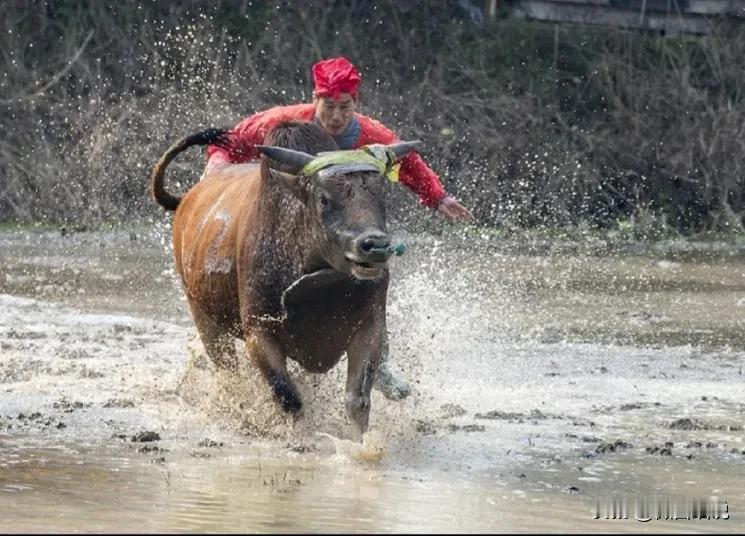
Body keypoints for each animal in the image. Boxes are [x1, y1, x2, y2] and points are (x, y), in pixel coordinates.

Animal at [148, 122, 422, 436]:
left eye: (381, 195)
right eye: (323, 198)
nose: (375, 245)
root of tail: (187, 200)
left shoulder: (370, 325)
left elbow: (358, 399)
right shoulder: (259, 332)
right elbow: (289, 397)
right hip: (206, 320)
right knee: (228, 369)